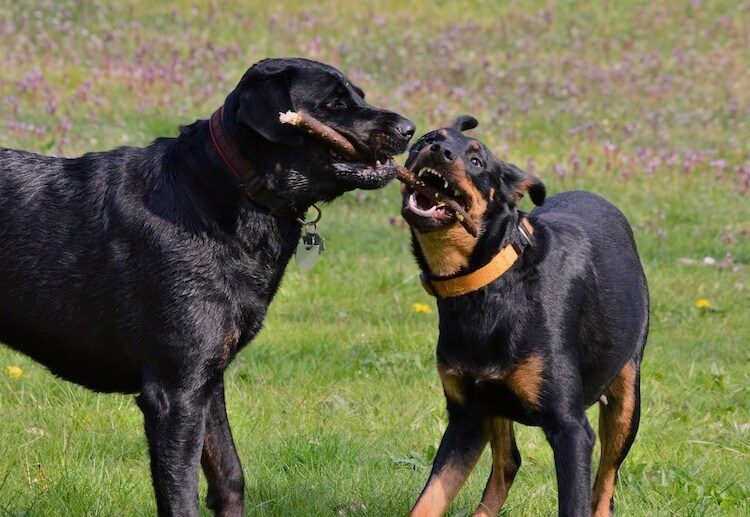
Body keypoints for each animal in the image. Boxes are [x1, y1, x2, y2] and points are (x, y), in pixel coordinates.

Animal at [0, 58, 418, 512]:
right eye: (334, 102)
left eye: (359, 94)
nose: (409, 128)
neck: (219, 196)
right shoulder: (175, 392)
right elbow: (181, 496)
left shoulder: (208, 379)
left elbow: (230, 475)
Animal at [402, 117, 648, 516]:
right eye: (425, 140)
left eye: (477, 162)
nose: (439, 151)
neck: (489, 286)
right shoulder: (466, 417)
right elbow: (429, 500)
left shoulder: (570, 429)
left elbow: (576, 502)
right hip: (494, 405)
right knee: (509, 461)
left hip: (626, 397)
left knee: (604, 486)